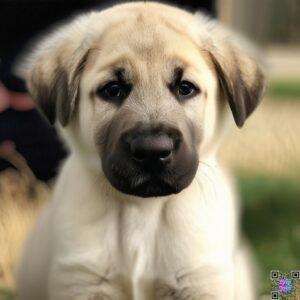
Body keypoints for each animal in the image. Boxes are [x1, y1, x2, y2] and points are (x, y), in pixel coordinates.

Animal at [17, 2, 264, 300]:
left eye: (185, 88)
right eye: (112, 89)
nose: (152, 151)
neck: (142, 211)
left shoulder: (200, 281)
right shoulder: (82, 281)